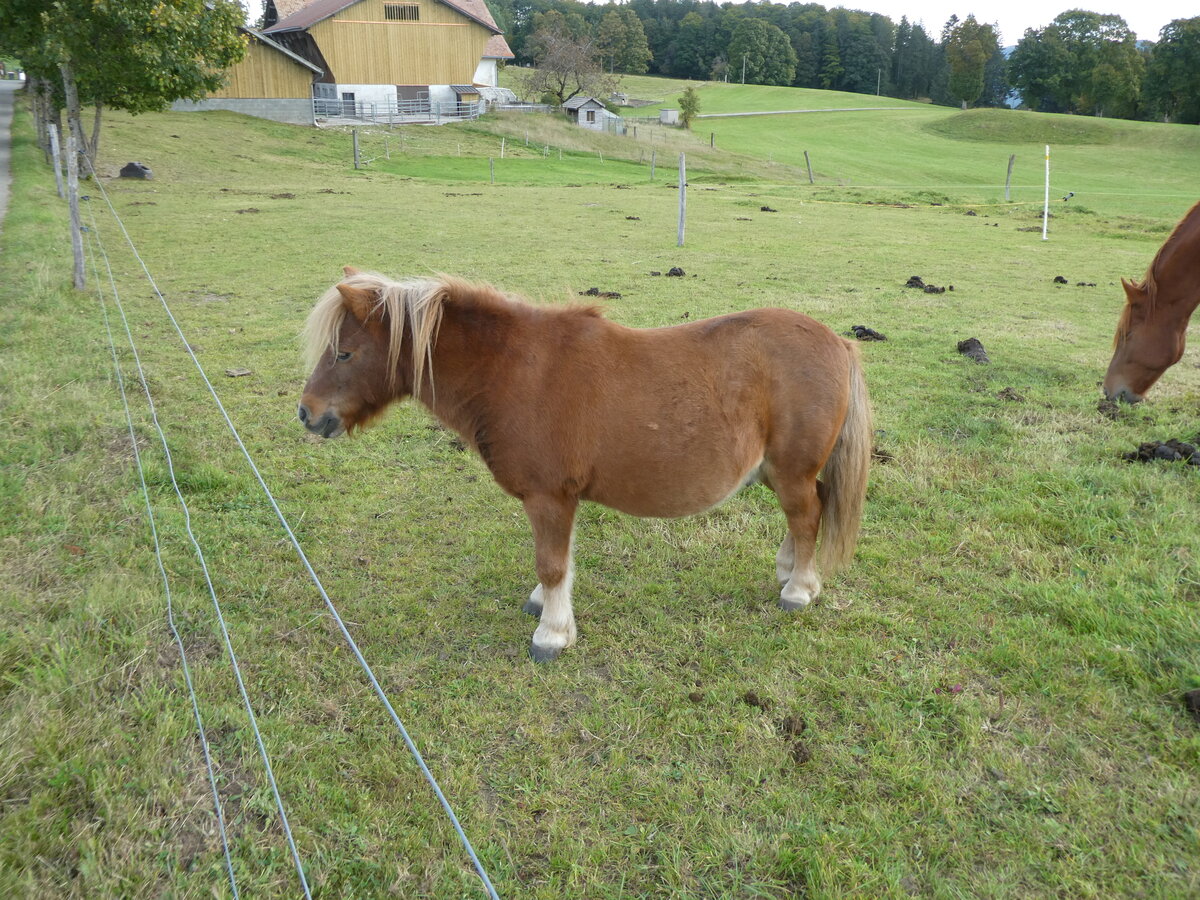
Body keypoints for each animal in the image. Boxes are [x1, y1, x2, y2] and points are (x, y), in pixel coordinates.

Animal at [299, 268, 872, 662]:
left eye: (345, 353)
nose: (308, 414)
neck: (513, 371)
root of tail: (837, 342)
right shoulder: (561, 499)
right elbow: (562, 562)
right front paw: (546, 607)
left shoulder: (549, 496)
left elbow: (551, 563)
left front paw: (552, 635)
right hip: (779, 472)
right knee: (809, 511)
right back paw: (791, 572)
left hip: (791, 471)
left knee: (807, 515)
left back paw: (799, 588)